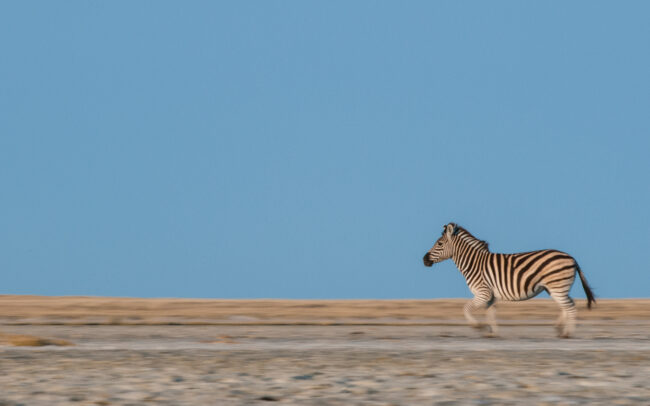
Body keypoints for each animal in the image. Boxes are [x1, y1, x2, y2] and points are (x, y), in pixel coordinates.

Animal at [422, 223, 595, 338]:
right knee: (567, 305)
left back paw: (567, 333)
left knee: (570, 307)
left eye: (439, 243)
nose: (424, 260)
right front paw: (492, 333)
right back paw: (559, 328)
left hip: (557, 287)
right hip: (555, 288)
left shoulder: (483, 293)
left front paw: (478, 327)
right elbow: (490, 313)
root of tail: (572, 258)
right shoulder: (490, 296)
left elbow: (465, 309)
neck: (474, 264)